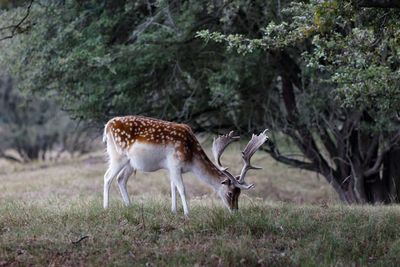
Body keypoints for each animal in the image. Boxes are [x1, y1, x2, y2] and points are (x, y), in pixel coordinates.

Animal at [102, 115, 268, 216]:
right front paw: (187, 213)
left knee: (120, 179)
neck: (191, 158)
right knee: (107, 177)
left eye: (239, 194)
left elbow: (173, 188)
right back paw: (106, 207)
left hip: (130, 163)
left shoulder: (171, 168)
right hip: (118, 155)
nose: (235, 211)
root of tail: (107, 126)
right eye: (230, 193)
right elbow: (182, 188)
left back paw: (129, 206)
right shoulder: (175, 163)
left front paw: (174, 210)